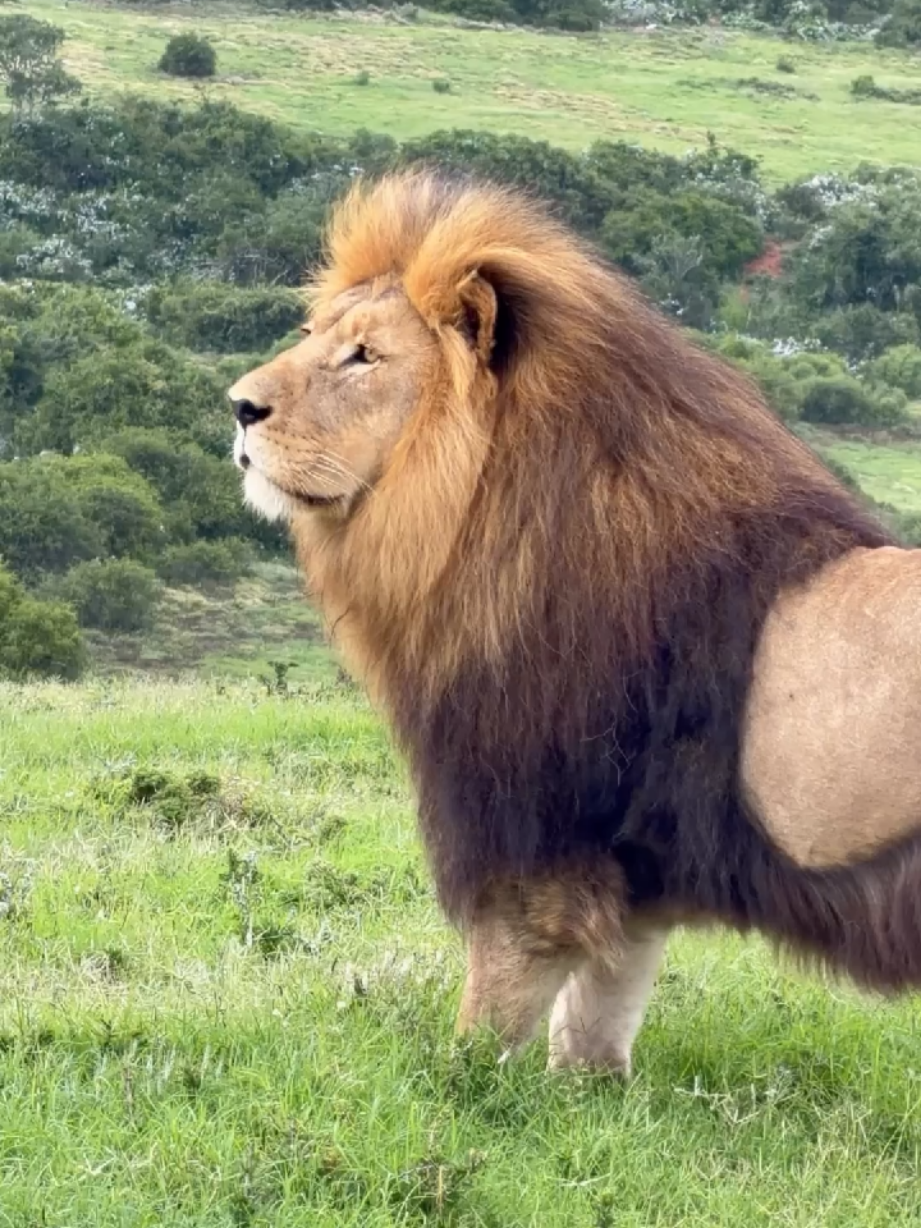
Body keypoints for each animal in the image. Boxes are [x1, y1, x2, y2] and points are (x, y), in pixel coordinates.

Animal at [228, 171, 921, 1076]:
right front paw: (588, 1091)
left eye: (363, 357)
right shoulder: (630, 859)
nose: (237, 407)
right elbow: (600, 1003)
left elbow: (499, 993)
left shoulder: (534, 831)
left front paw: (462, 1082)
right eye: (309, 335)